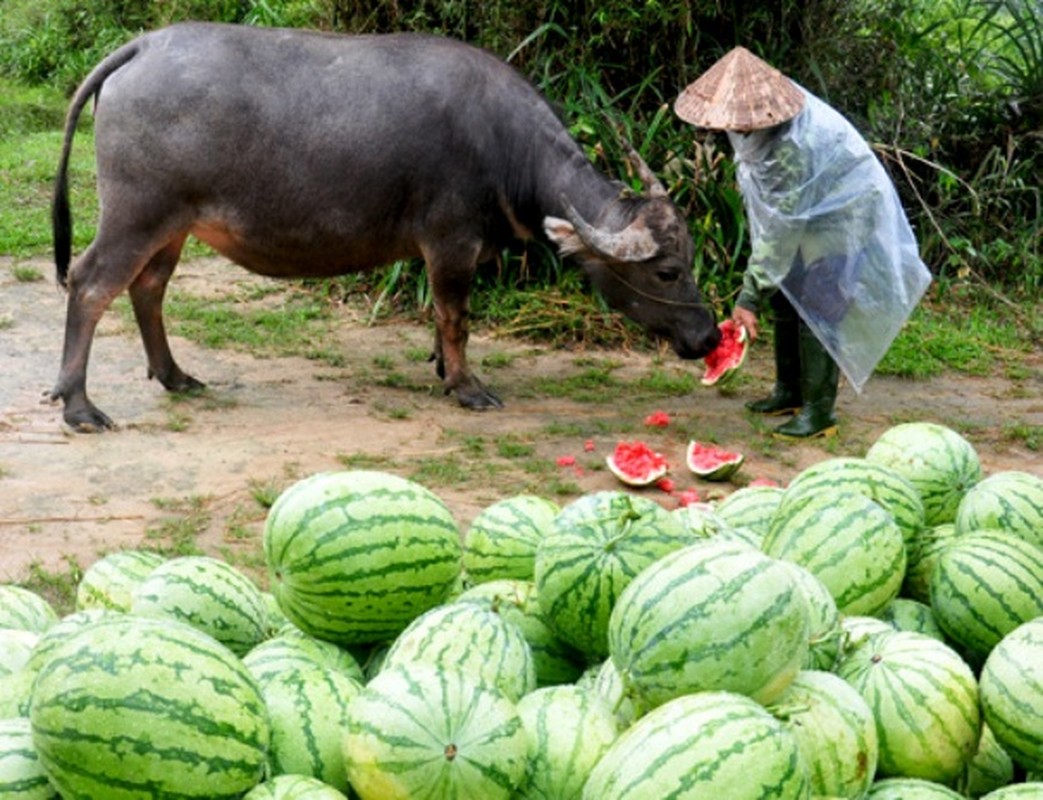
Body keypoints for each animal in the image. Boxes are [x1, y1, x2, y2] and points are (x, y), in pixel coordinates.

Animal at [49, 21, 717, 431]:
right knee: (90, 283)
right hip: (137, 213)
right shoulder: (450, 242)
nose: (709, 337)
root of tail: (142, 48)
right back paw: (79, 405)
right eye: (667, 270)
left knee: (148, 288)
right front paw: (467, 386)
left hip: (174, 224)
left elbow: (443, 321)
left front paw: (444, 368)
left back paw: (175, 376)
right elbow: (457, 316)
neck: (505, 147)